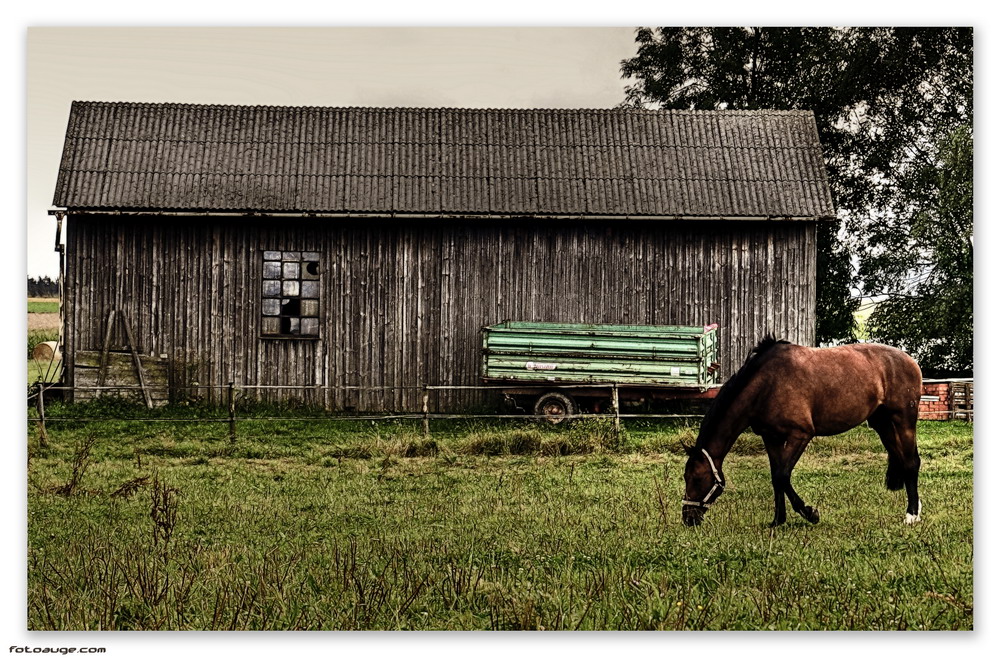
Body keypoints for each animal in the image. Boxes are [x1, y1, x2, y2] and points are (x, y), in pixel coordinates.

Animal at [680, 336, 920, 524]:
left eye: (697, 479)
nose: (688, 518)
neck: (767, 384)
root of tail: (910, 360)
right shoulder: (771, 438)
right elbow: (775, 477)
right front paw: (778, 520)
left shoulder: (800, 435)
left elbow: (782, 475)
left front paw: (809, 513)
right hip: (883, 424)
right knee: (902, 458)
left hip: (903, 421)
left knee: (911, 462)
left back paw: (912, 515)